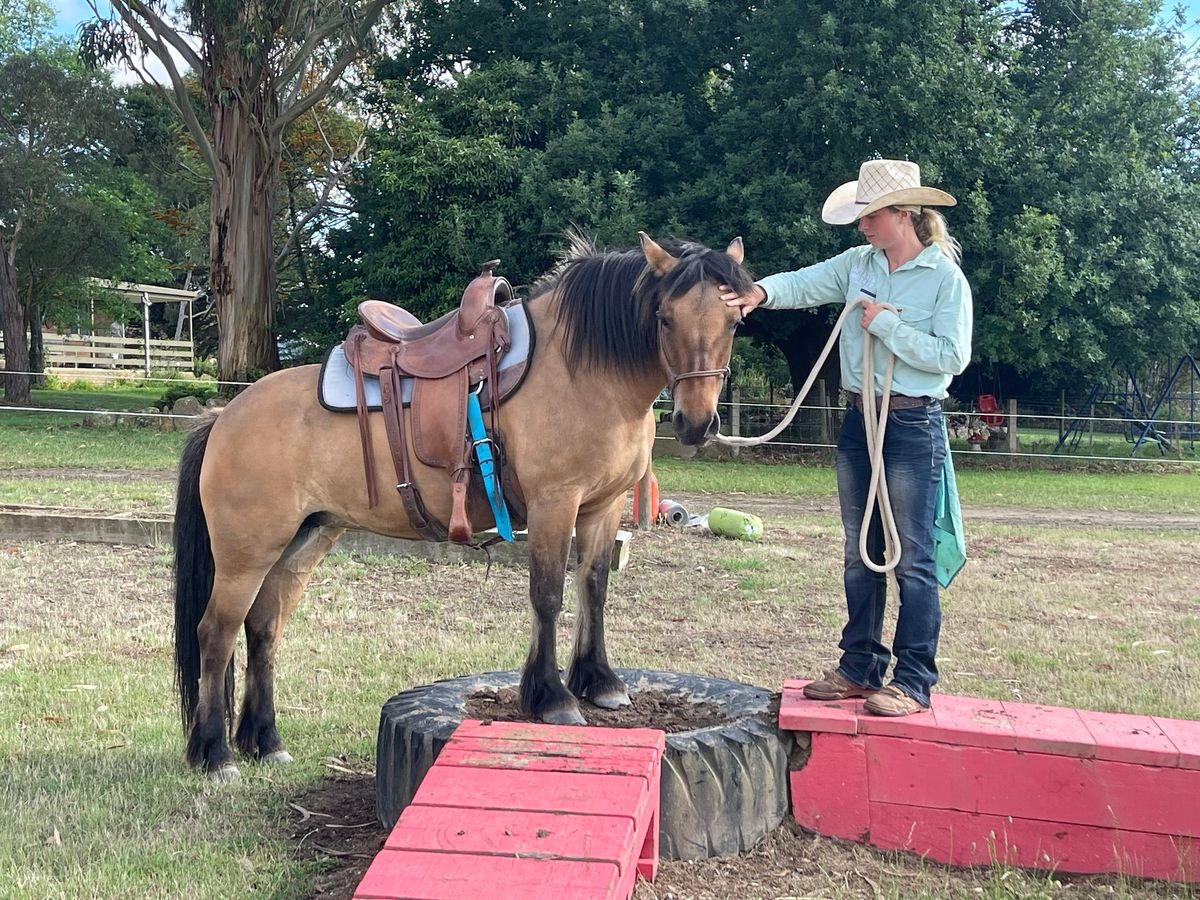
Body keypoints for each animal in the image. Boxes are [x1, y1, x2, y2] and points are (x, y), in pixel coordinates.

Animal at [171, 232, 748, 777]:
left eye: (734, 320)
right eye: (664, 317)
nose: (697, 423)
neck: (584, 371)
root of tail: (224, 415)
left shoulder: (601, 509)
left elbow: (594, 590)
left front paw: (599, 681)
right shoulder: (554, 505)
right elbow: (547, 596)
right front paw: (552, 697)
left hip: (301, 544)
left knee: (263, 629)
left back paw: (265, 741)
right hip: (246, 554)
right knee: (215, 634)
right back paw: (216, 753)